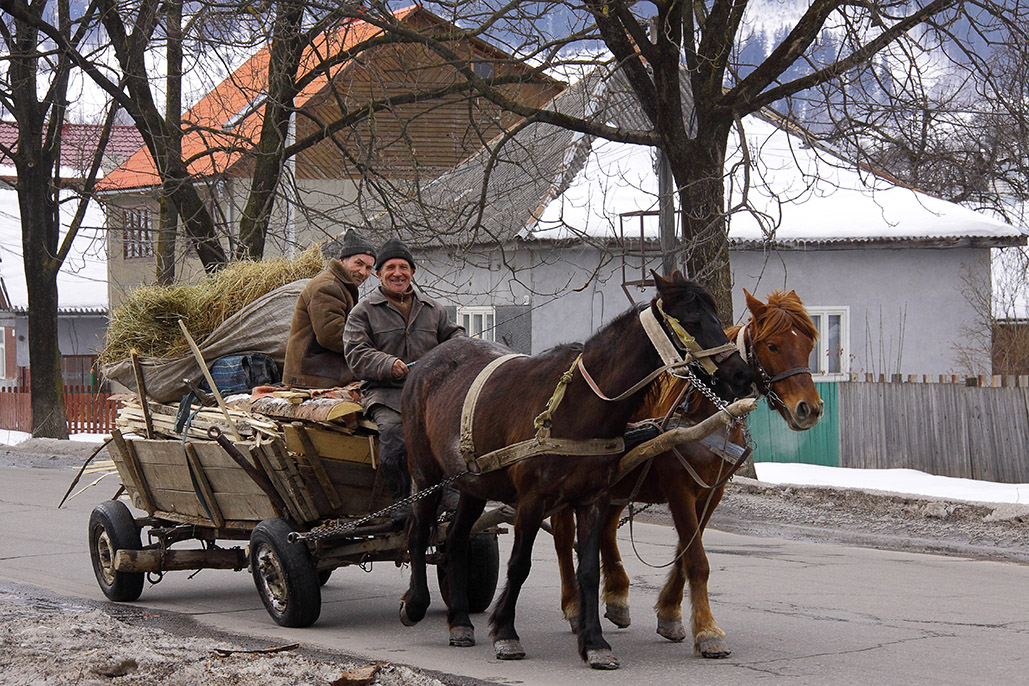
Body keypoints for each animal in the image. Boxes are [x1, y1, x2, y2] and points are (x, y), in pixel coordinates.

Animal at [401, 273, 757, 670]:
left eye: (715, 316)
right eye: (693, 321)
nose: (742, 375)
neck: (577, 404)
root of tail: (424, 364)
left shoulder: (592, 499)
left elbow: (588, 569)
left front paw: (595, 642)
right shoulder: (532, 501)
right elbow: (519, 564)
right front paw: (506, 633)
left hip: (473, 484)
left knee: (456, 539)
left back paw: (461, 620)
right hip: (426, 472)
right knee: (419, 532)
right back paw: (416, 603)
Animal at [551, 287, 823, 658]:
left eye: (808, 344)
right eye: (772, 346)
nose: (810, 409)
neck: (709, 414)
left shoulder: (712, 491)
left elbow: (686, 552)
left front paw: (669, 614)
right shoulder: (678, 486)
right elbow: (696, 559)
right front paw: (708, 632)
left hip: (621, 482)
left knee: (605, 531)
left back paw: (618, 596)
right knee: (564, 540)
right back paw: (573, 606)